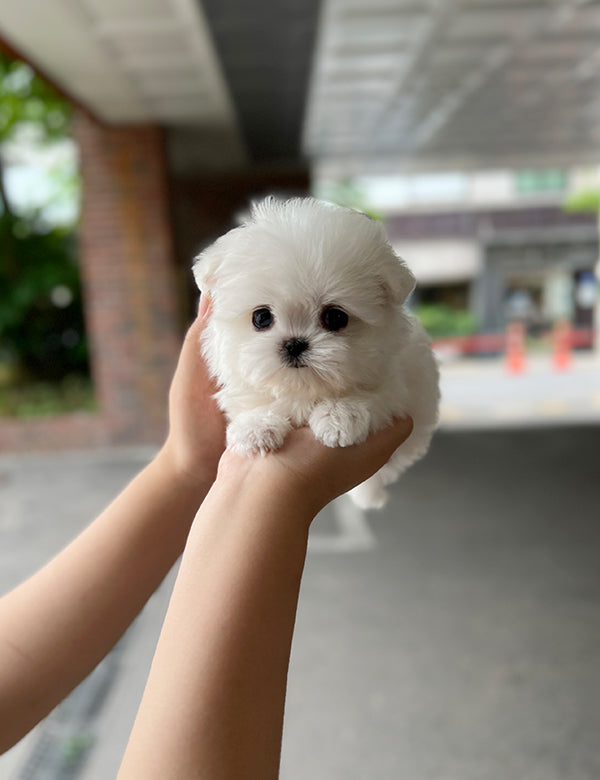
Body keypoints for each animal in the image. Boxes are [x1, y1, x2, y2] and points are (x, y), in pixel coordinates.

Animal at [193, 198, 440, 508]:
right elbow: (255, 402)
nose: (295, 343)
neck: (304, 389)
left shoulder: (396, 386)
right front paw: (255, 428)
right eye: (261, 317)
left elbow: (371, 394)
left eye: (335, 317)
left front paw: (339, 416)